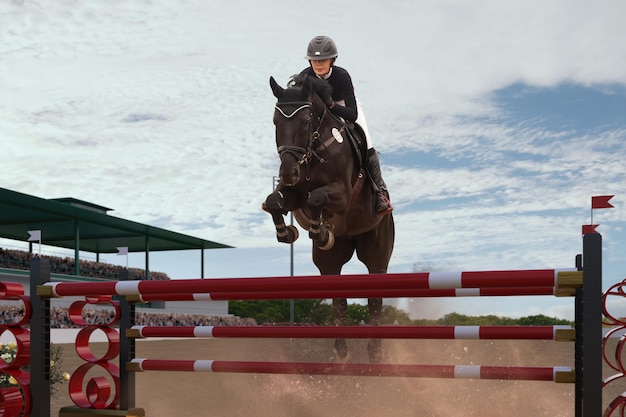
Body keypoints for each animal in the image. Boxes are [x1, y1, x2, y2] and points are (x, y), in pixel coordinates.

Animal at [260, 75, 392, 364]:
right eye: (275, 121)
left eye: (305, 121)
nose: (287, 173)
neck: (314, 150)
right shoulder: (294, 193)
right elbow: (275, 201)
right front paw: (287, 232)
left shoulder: (342, 193)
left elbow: (317, 198)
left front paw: (319, 230)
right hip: (330, 261)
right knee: (338, 299)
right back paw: (341, 350)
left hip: (377, 255)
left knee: (375, 300)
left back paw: (375, 352)